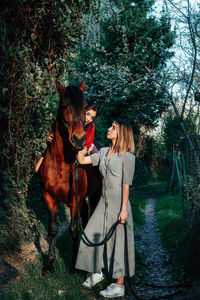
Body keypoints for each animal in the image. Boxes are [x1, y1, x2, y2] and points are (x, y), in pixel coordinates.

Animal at [38, 82, 100, 274]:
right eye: (64, 105)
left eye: (85, 106)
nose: (79, 140)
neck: (60, 164)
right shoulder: (49, 197)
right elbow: (52, 229)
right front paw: (49, 264)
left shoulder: (75, 200)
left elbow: (73, 230)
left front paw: (73, 266)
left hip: (94, 195)